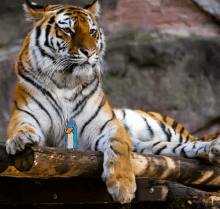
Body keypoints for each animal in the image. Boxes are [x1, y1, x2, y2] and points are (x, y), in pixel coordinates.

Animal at [6, 0, 220, 203]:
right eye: (67, 30)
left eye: (92, 31)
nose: (89, 52)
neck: (66, 82)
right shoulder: (24, 114)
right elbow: (20, 127)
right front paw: (19, 140)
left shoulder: (109, 125)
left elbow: (119, 148)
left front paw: (122, 186)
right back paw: (213, 151)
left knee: (192, 141)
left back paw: (214, 147)